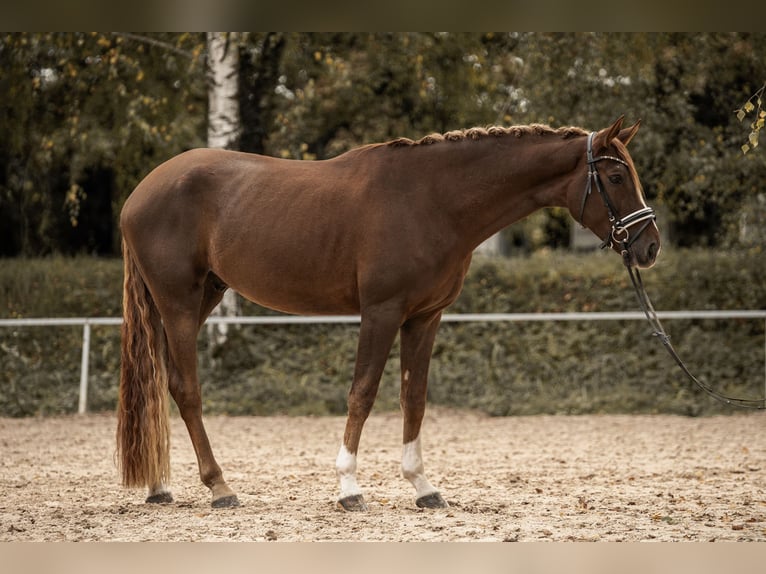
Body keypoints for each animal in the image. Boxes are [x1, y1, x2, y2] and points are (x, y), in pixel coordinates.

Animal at [117, 116, 660, 511]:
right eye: (616, 177)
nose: (649, 246)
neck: (432, 200)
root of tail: (139, 193)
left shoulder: (425, 317)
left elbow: (412, 398)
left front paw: (423, 487)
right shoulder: (381, 313)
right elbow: (362, 393)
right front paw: (349, 488)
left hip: (203, 297)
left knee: (161, 384)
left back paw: (161, 487)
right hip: (179, 302)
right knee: (186, 389)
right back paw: (220, 488)